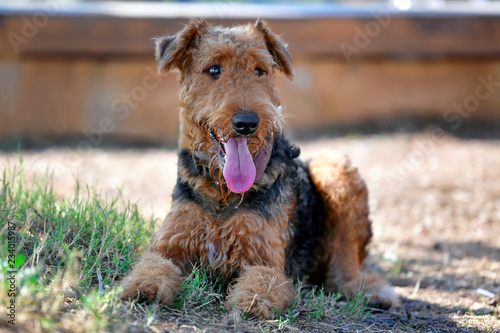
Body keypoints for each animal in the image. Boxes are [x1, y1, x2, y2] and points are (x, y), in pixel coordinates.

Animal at [120, 18, 398, 320]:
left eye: (260, 70)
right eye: (214, 69)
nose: (247, 123)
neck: (222, 194)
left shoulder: (265, 263)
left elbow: (259, 285)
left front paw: (249, 304)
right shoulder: (167, 248)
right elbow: (151, 268)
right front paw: (143, 289)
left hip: (333, 168)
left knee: (347, 267)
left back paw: (373, 293)